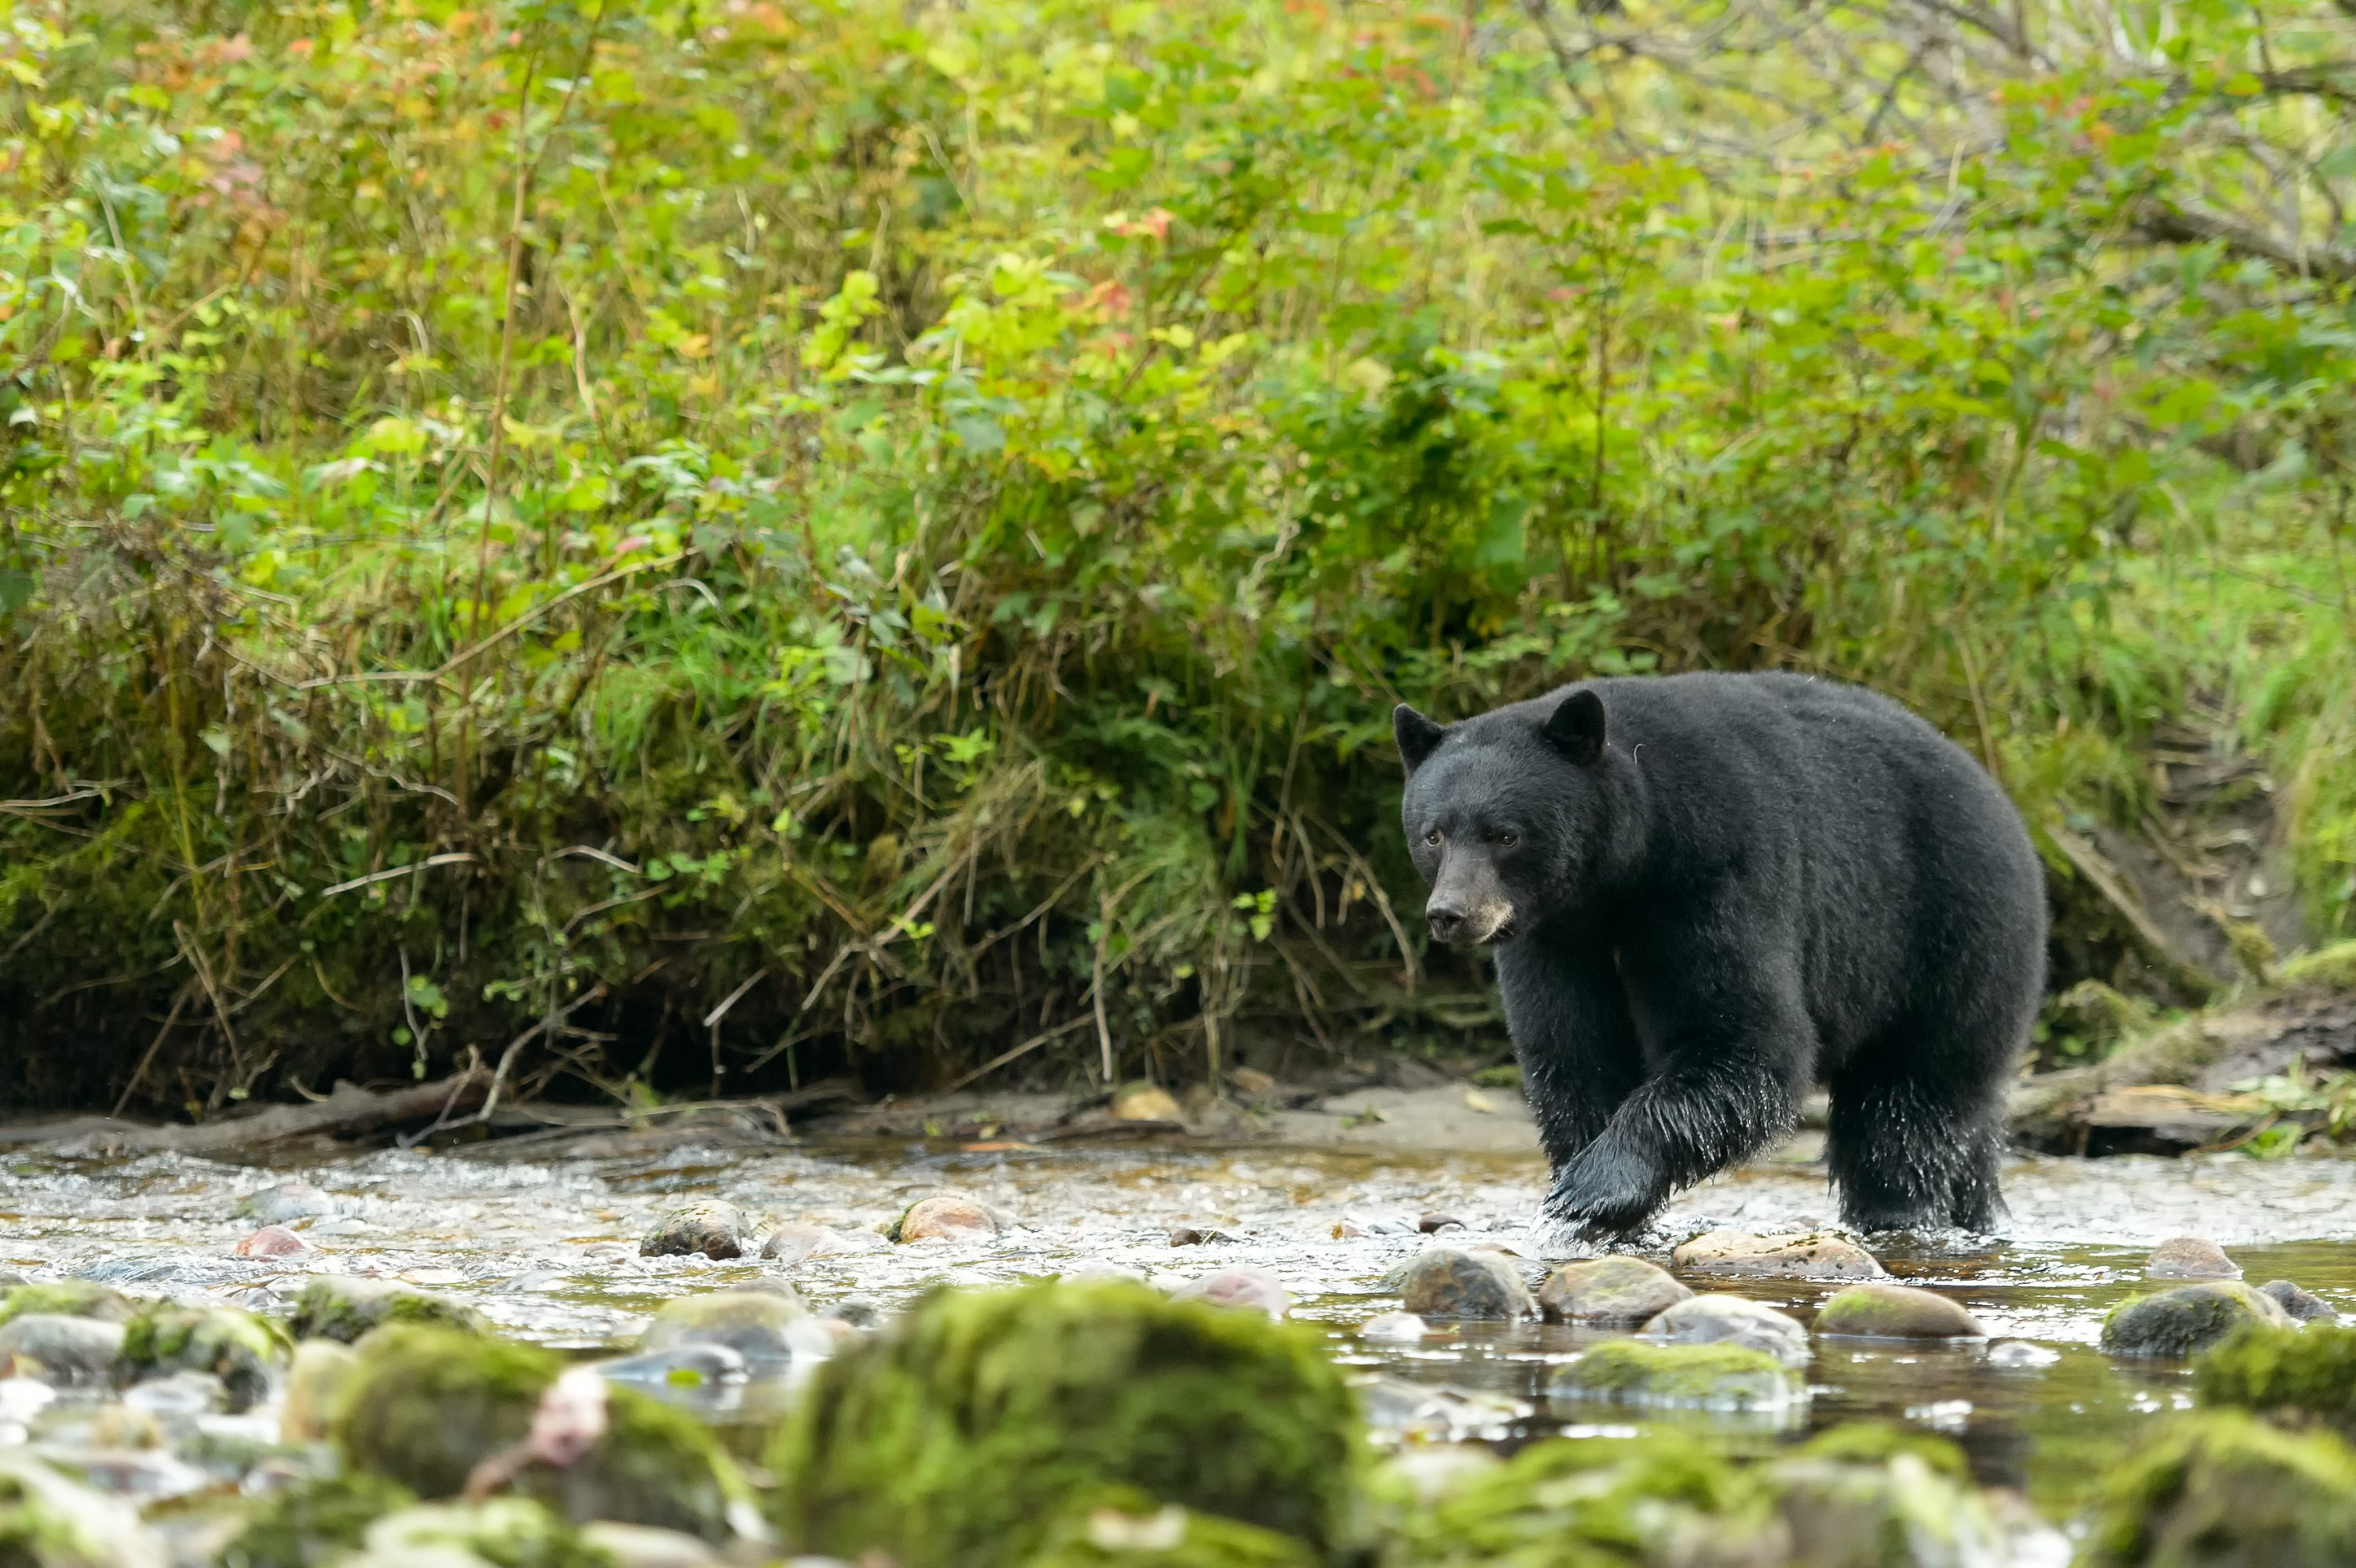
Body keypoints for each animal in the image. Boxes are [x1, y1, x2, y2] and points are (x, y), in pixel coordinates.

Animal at [1394, 671, 2046, 1238]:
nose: (1450, 913)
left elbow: (1745, 1039)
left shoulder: (1716, 877)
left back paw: (1898, 1211)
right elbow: (1574, 1052)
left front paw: (1593, 1188)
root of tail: (2003, 802)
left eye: (1505, 834)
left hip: (1945, 935)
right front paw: (1592, 1195)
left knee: (1906, 1105)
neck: (1617, 879)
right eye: (1434, 833)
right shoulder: (1554, 938)